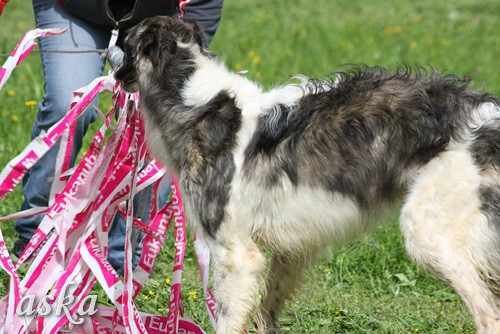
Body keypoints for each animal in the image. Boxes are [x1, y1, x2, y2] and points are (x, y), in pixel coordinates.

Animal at [115, 17, 500, 334]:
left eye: (125, 42)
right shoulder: (291, 251)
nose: (111, 60)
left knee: (488, 316)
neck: (201, 105)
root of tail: (486, 113)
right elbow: (266, 316)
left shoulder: (236, 255)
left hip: (429, 229)